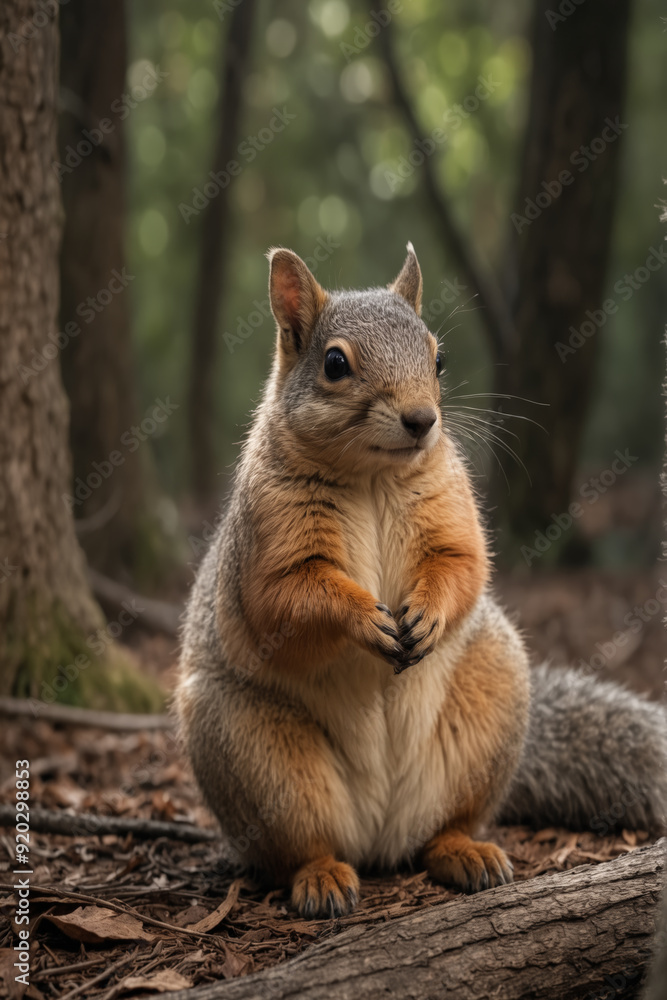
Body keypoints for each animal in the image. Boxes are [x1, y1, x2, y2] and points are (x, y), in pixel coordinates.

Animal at [176, 243, 667, 918]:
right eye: (334, 364)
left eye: (439, 357)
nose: (421, 419)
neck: (373, 476)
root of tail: (380, 833)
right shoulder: (266, 544)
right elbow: (288, 598)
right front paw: (363, 618)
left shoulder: (450, 508)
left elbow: (463, 563)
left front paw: (429, 612)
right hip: (256, 756)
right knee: (300, 844)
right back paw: (321, 876)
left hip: (487, 707)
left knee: (442, 829)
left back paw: (465, 853)